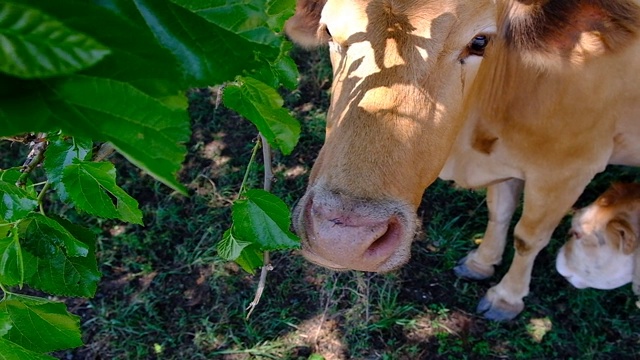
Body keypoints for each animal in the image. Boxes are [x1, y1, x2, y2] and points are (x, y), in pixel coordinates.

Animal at [284, 0, 640, 320]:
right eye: (328, 31)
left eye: (480, 41)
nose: (344, 239)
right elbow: (499, 212)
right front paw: (481, 263)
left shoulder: (567, 170)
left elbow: (528, 237)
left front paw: (506, 298)